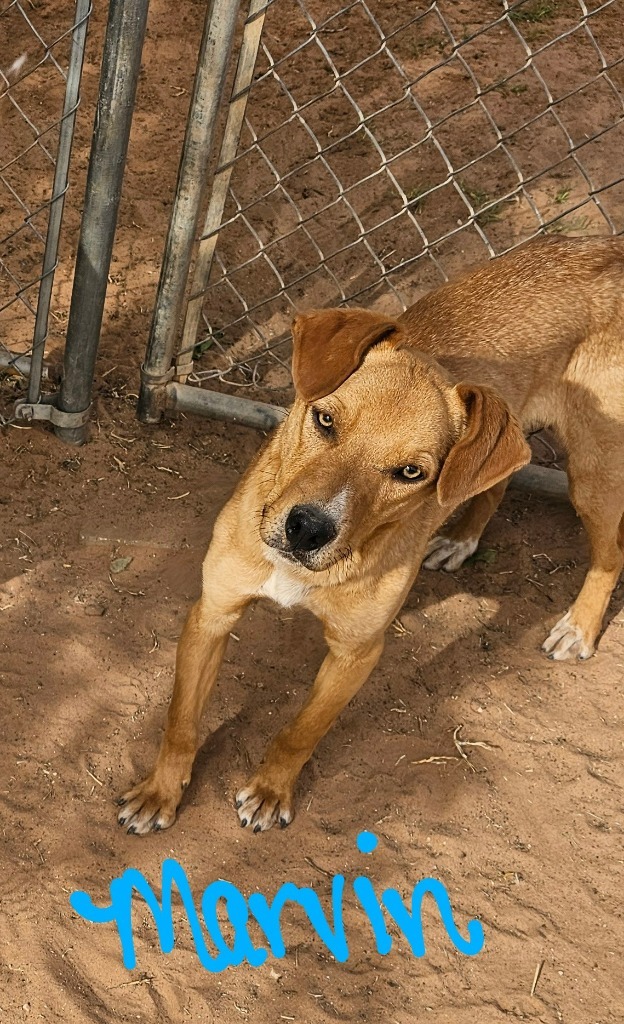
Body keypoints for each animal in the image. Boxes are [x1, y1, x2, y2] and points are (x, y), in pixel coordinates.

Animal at [117, 235, 622, 835]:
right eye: (325, 419)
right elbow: (180, 721)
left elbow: (300, 732)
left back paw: (579, 627)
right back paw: (462, 538)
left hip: (593, 471)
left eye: (410, 472)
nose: (307, 529)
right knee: (497, 482)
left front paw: (269, 791)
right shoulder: (213, 611)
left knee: (610, 553)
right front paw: (159, 793)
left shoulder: (356, 653)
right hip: (517, 442)